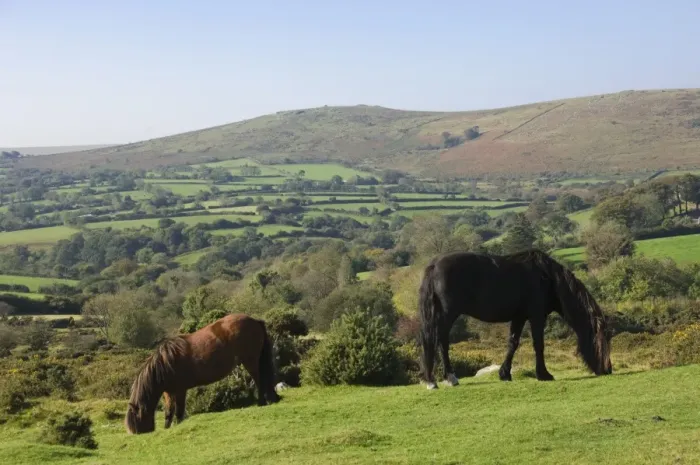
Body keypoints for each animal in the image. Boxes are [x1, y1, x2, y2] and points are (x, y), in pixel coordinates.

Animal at [125, 313, 280, 434]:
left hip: (250, 361)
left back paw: (261, 403)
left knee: (259, 380)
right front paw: (167, 428)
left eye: (136, 420)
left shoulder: (180, 390)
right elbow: (169, 412)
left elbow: (179, 412)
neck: (165, 363)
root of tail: (254, 321)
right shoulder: (169, 392)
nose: (141, 433)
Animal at [418, 249, 612, 390]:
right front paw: (544, 374)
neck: (546, 277)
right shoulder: (536, 316)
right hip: (448, 314)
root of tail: (434, 265)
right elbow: (538, 344)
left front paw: (505, 374)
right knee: (440, 340)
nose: (608, 369)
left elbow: (513, 343)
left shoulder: (519, 317)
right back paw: (447, 378)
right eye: (602, 339)